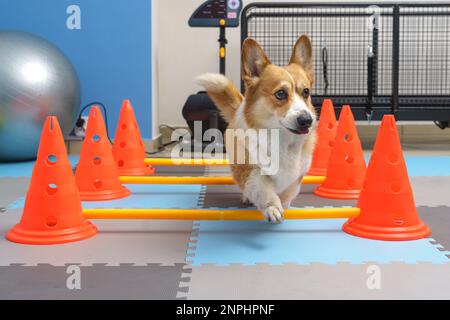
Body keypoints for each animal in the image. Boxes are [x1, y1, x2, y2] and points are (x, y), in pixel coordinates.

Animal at [196, 35, 316, 222]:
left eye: (306, 92)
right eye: (280, 94)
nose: (307, 120)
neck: (281, 141)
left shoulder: (295, 178)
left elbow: (287, 194)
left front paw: (284, 206)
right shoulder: (250, 171)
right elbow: (263, 189)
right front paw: (273, 208)